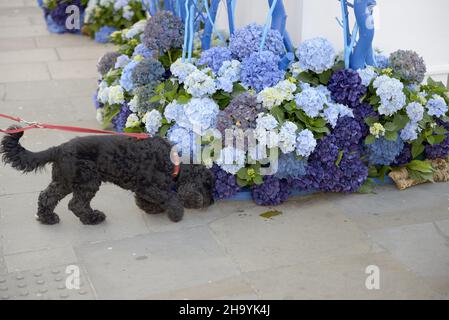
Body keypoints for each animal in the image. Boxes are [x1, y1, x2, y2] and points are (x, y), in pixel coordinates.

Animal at [0, 127, 214, 225]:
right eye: (208, 185)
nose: (211, 202)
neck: (172, 161)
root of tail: (58, 148)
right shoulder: (148, 186)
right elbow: (170, 196)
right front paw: (175, 213)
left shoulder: (143, 188)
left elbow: (148, 199)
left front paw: (153, 209)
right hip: (87, 180)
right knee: (76, 204)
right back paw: (93, 218)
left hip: (64, 181)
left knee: (47, 196)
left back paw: (48, 217)